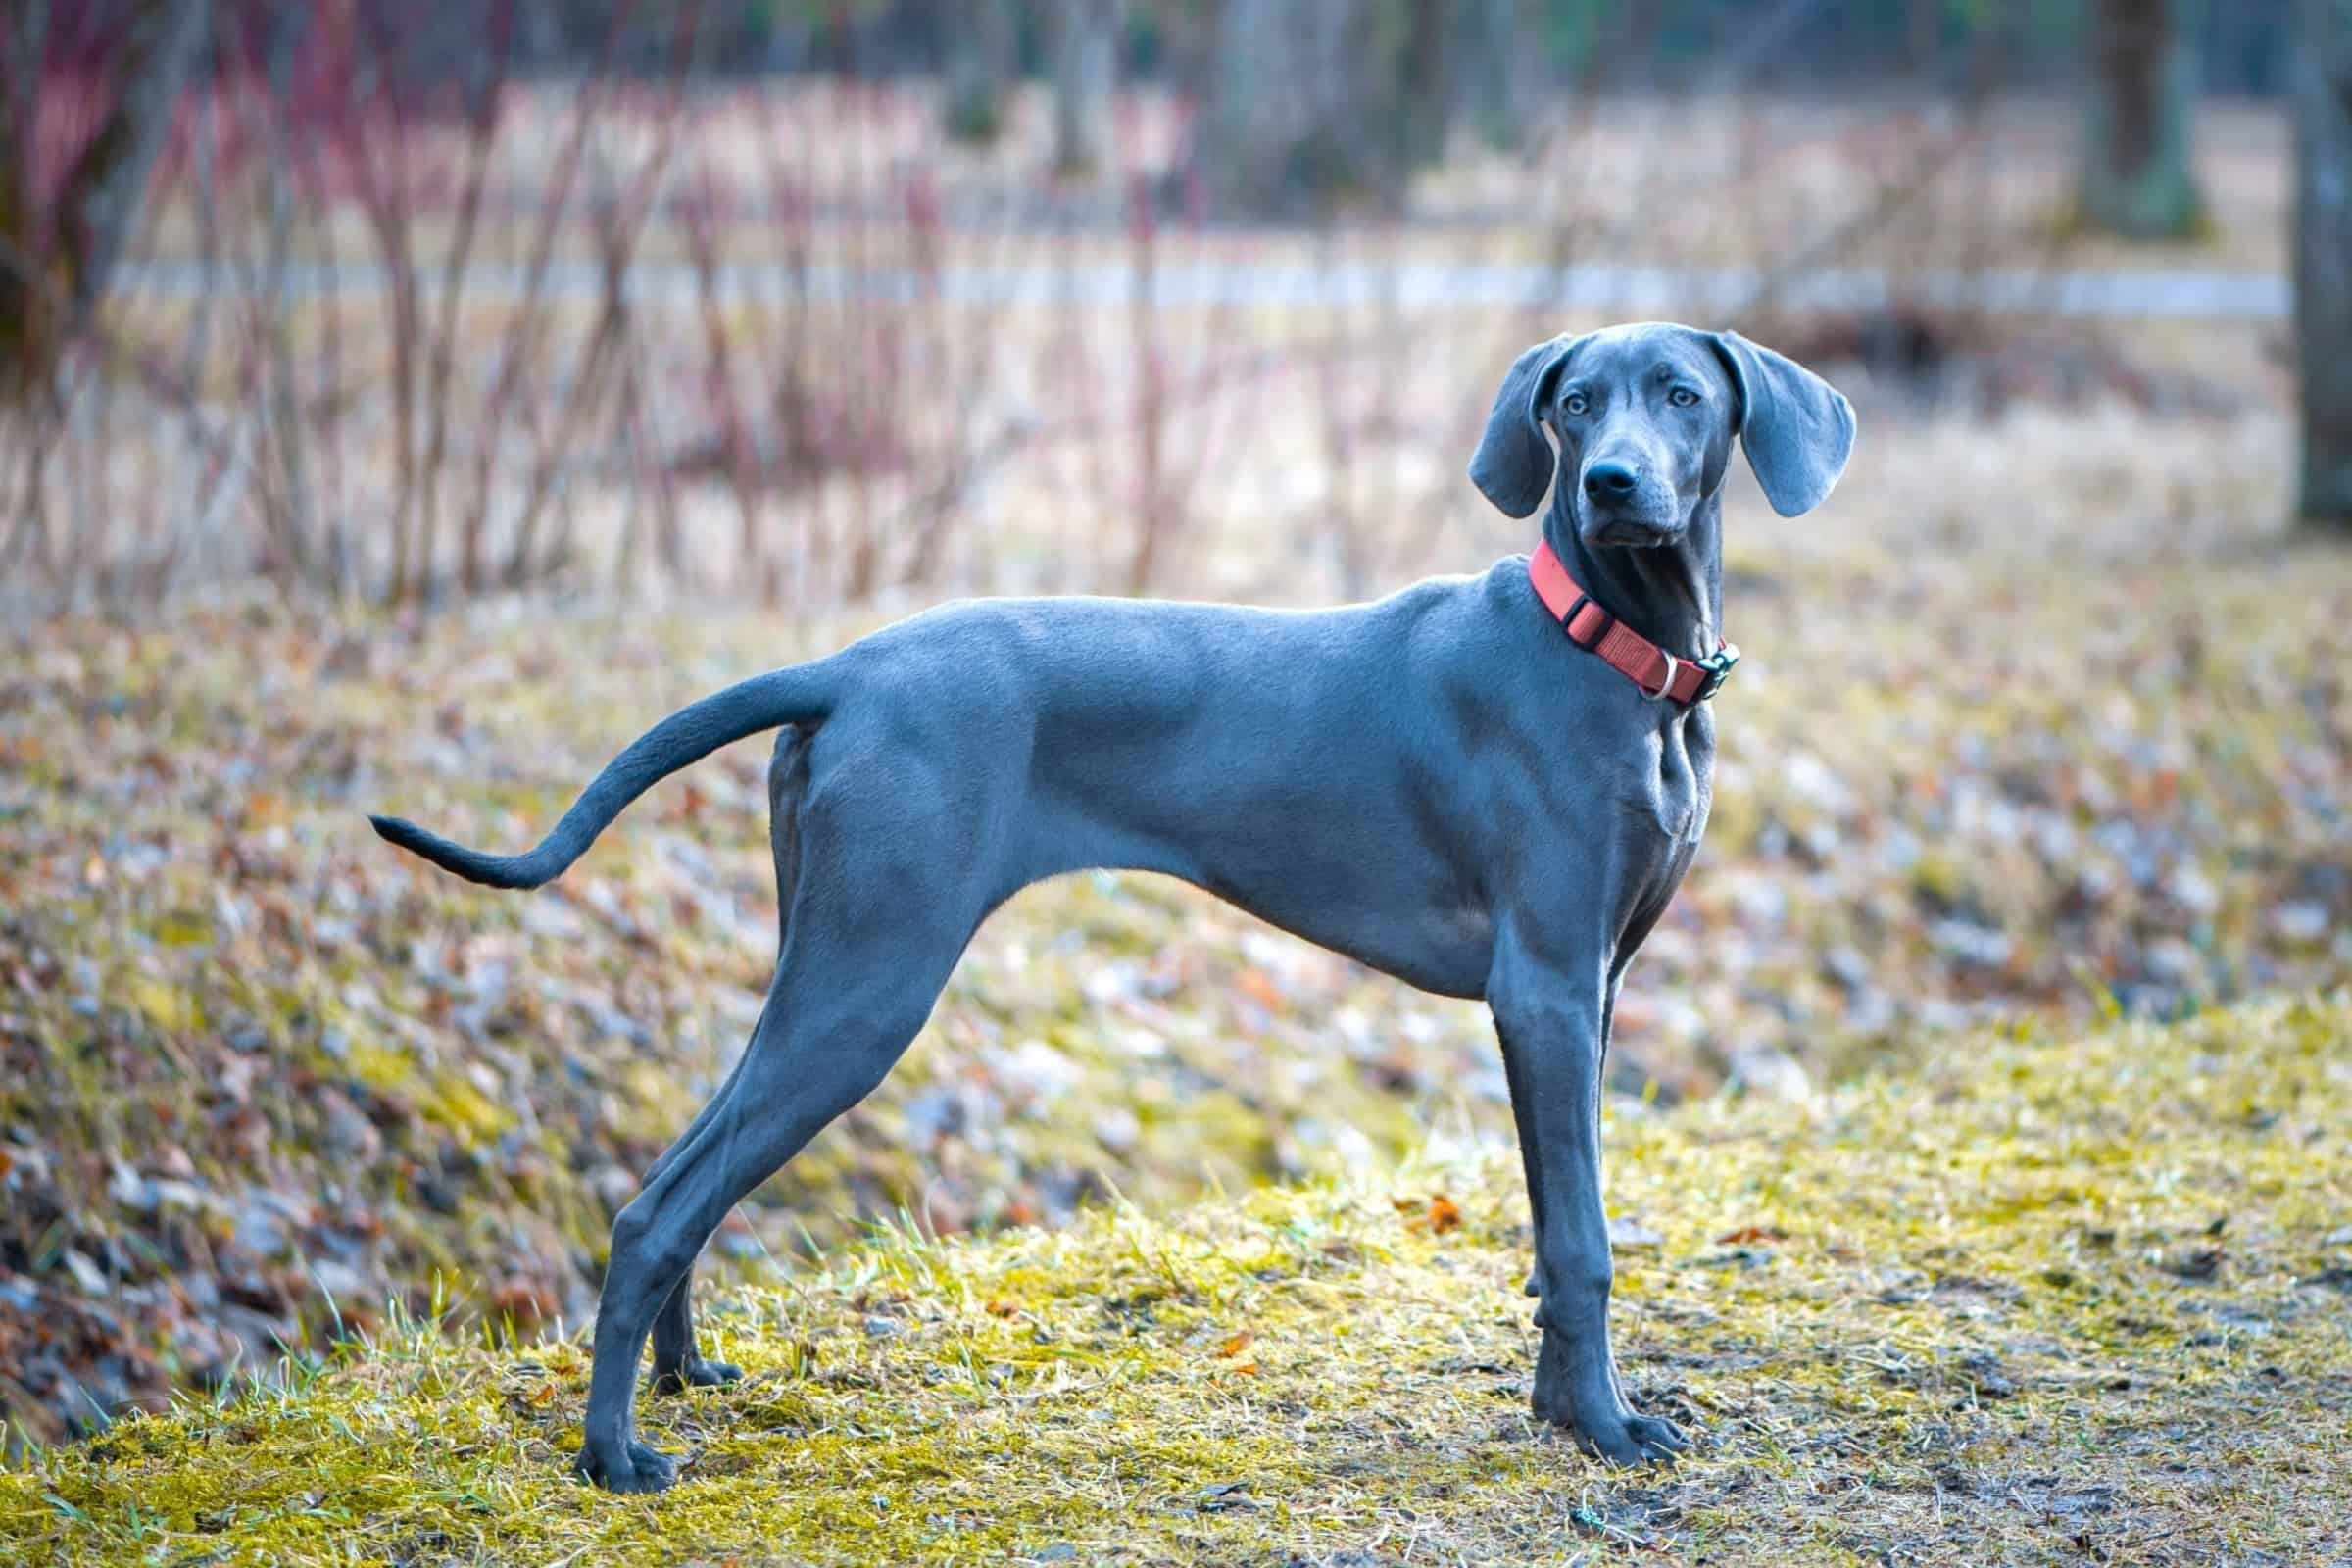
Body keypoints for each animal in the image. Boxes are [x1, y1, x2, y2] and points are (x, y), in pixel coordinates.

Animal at [371, 321, 1853, 1494]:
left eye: (1680, 394)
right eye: (1574, 403)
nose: (1612, 484)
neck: (1609, 652)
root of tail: (844, 665)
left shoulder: (1592, 991)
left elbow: (1556, 1232)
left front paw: (1559, 1411)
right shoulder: (1542, 986)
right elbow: (1587, 1239)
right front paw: (1604, 1429)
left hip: (827, 949)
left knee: (689, 1169)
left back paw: (684, 1379)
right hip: (875, 976)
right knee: (658, 1207)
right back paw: (613, 1454)